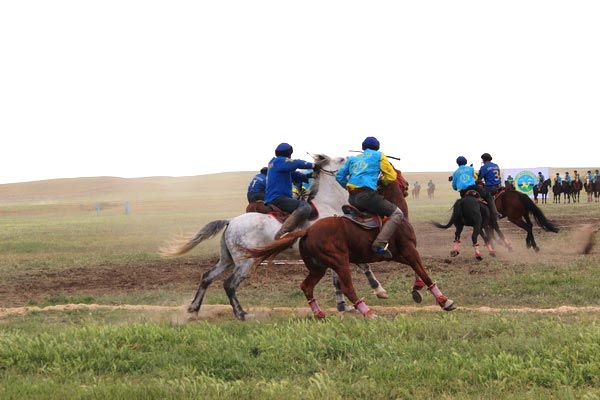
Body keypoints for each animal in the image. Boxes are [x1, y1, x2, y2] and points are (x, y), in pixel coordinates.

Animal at [161, 155, 390, 320]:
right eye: (342, 159)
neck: (328, 205)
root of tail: (231, 221)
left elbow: (338, 279)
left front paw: (344, 306)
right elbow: (362, 266)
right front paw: (379, 290)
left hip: (227, 259)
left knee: (207, 277)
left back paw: (193, 309)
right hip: (245, 262)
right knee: (229, 284)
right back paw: (241, 314)